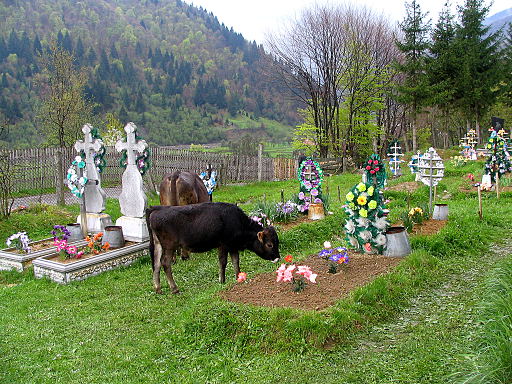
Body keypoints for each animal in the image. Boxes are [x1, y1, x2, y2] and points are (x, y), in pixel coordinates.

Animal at [145, 201, 280, 294]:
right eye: (269, 244)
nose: (278, 258)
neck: (237, 222)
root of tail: (157, 209)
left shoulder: (233, 246)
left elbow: (236, 261)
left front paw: (238, 277)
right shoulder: (223, 244)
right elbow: (223, 262)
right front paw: (222, 280)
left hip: (158, 245)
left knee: (156, 263)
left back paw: (158, 288)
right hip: (169, 246)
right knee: (165, 263)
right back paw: (174, 288)